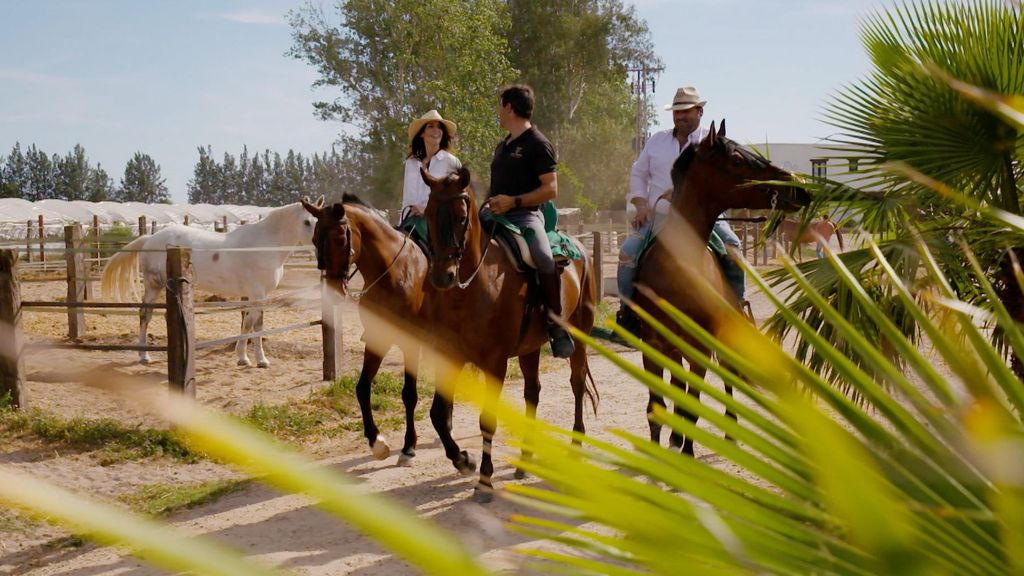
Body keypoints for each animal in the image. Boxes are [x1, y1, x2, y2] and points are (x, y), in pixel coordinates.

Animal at [103, 196, 319, 364]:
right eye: (307, 222)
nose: (318, 246)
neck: (265, 244)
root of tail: (150, 238)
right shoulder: (257, 294)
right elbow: (253, 324)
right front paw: (256, 359)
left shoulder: (258, 295)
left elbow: (252, 323)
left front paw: (246, 358)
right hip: (153, 286)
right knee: (144, 315)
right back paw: (144, 356)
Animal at [303, 194, 432, 463]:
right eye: (314, 239)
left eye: (340, 239)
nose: (333, 290)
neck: (394, 273)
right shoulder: (376, 339)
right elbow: (362, 388)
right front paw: (376, 442)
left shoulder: (411, 342)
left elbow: (409, 394)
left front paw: (409, 446)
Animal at [419, 166, 598, 502]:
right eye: (429, 213)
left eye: (461, 217)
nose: (442, 276)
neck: (474, 287)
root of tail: (580, 248)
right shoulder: (449, 355)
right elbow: (438, 414)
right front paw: (463, 460)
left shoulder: (495, 362)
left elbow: (487, 419)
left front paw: (484, 481)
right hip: (529, 348)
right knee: (533, 392)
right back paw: (524, 461)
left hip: (580, 334)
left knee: (577, 384)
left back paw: (576, 446)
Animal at [630, 120, 806, 453]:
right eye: (736, 160)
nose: (800, 188)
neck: (677, 270)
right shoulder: (654, 345)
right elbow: (656, 408)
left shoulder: (700, 347)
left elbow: (691, 407)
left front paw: (685, 452)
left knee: (727, 380)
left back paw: (729, 433)